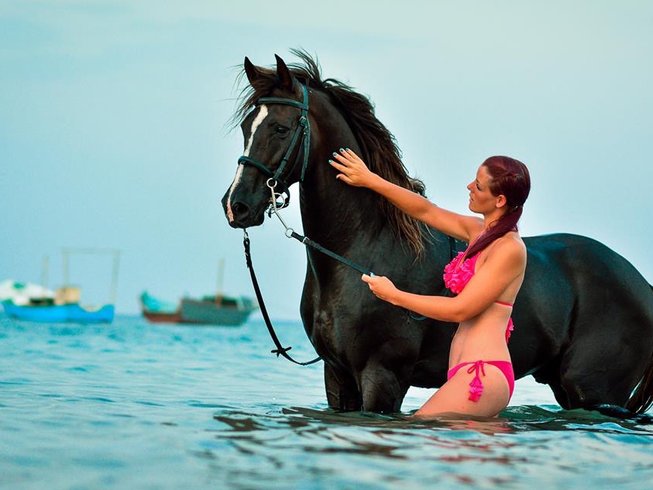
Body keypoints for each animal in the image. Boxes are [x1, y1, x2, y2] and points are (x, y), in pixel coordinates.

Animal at [222, 51, 652, 416]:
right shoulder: (337, 375)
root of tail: (641, 285)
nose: (236, 206)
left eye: (280, 128)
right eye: (246, 127)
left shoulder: (383, 376)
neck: (361, 249)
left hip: (595, 392)